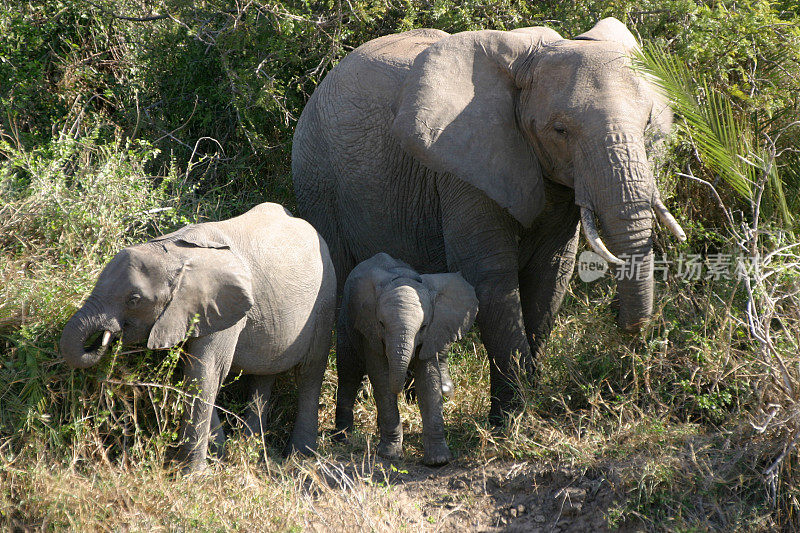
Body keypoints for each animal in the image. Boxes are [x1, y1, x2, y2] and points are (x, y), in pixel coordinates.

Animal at [61, 201, 336, 470]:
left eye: (134, 299)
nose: (101, 339)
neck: (173, 252)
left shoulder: (226, 309)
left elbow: (206, 371)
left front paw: (193, 473)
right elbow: (194, 370)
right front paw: (218, 454)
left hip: (325, 300)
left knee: (310, 372)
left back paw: (299, 456)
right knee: (263, 376)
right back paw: (251, 448)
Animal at [294, 17, 688, 424]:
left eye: (648, 123)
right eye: (560, 130)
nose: (628, 328)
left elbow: (551, 273)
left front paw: (528, 404)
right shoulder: (463, 169)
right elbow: (490, 275)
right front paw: (512, 420)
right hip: (318, 178)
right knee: (343, 285)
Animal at [338, 251, 476, 464]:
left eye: (424, 327)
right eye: (381, 324)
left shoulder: (432, 333)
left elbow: (428, 380)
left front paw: (439, 460)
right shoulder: (370, 330)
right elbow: (381, 378)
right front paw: (389, 454)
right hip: (346, 322)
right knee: (348, 373)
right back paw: (342, 438)